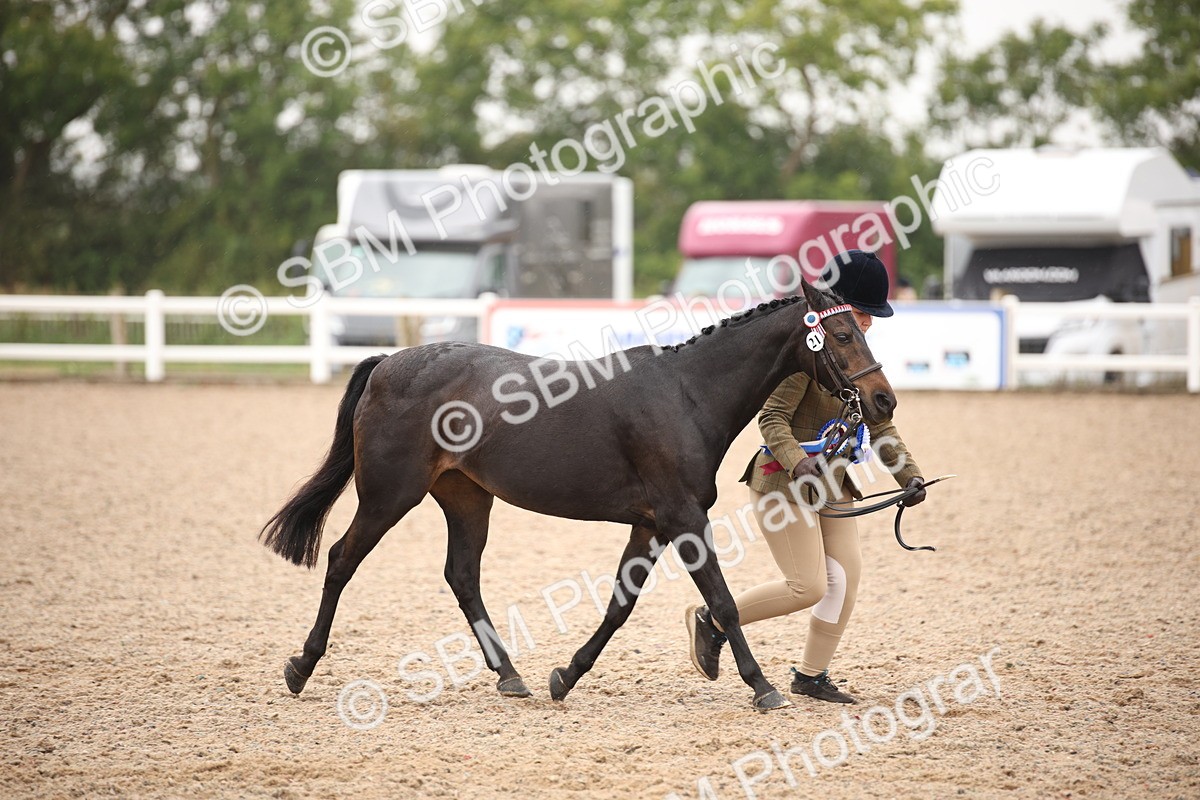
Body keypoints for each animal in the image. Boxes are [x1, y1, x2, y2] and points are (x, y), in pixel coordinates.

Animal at [260, 279, 896, 710]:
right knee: (341, 559)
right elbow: (722, 601)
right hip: (389, 495)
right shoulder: (683, 518)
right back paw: (301, 666)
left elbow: (620, 604)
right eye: (842, 334)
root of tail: (388, 361)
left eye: (861, 330)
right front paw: (762, 686)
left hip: (466, 499)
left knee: (462, 576)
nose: (884, 400)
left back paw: (510, 675)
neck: (685, 394)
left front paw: (565, 676)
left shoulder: (652, 524)